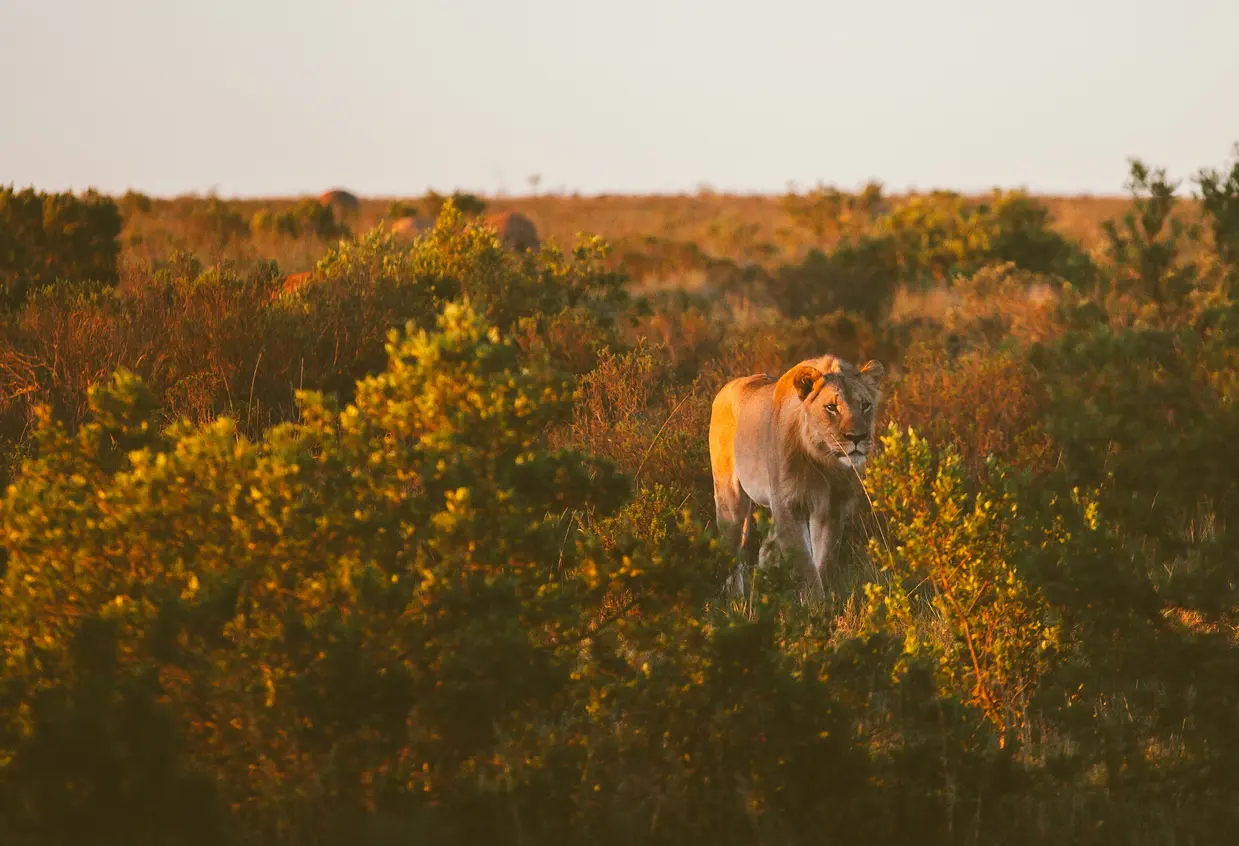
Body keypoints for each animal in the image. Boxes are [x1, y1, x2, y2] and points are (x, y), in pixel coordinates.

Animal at [709, 355, 885, 600]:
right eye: (831, 408)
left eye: (865, 405)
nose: (857, 437)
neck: (825, 461)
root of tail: (725, 387)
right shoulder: (788, 504)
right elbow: (804, 563)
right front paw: (816, 604)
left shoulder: (832, 508)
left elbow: (825, 560)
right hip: (731, 501)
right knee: (732, 550)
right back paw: (737, 599)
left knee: (765, 549)